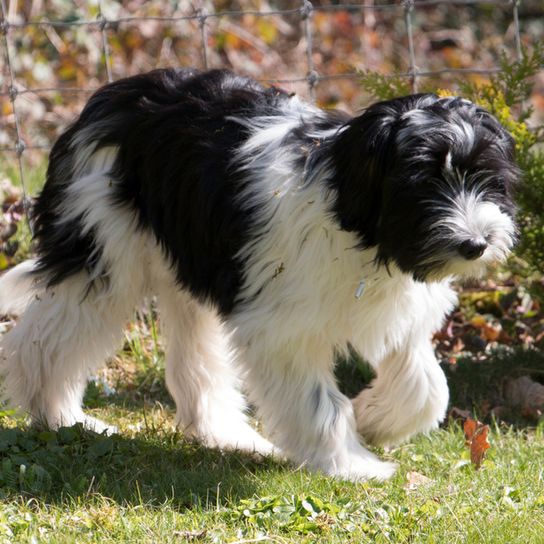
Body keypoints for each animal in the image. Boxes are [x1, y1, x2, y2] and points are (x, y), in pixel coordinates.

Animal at [0, 68, 520, 480]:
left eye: (488, 179)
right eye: (422, 182)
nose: (475, 244)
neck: (355, 221)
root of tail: (110, 98)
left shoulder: (398, 311)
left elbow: (427, 389)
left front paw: (373, 419)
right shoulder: (283, 330)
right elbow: (320, 403)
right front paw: (351, 464)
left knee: (196, 360)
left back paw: (225, 434)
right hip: (101, 252)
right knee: (44, 344)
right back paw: (59, 417)